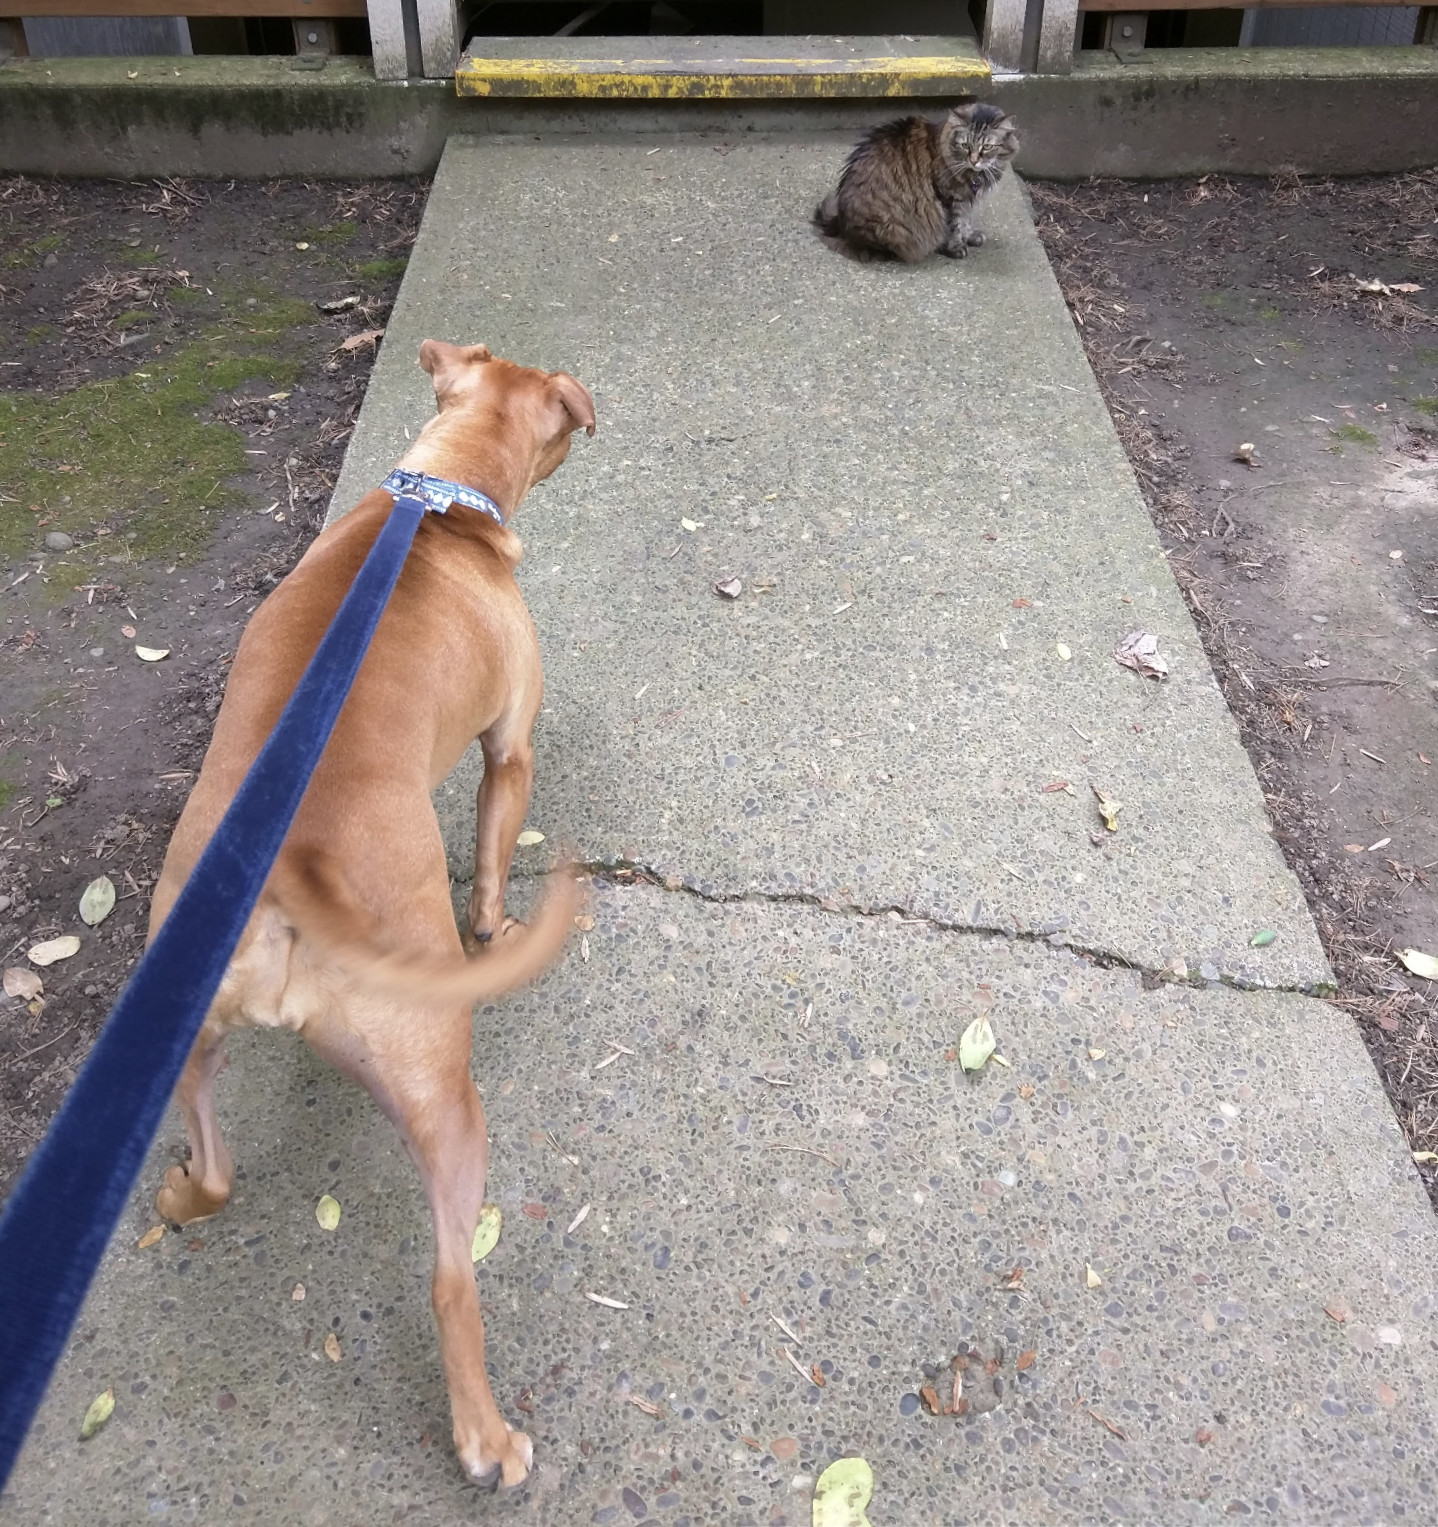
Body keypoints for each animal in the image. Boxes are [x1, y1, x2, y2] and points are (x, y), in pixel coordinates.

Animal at [146, 340, 595, 1484]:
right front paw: (494, 924)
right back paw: (487, 1437)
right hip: (444, 1096)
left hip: (187, 1038)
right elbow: (490, 862)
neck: (439, 501)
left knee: (217, 1170)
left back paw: (177, 1195)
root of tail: (288, 876)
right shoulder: (509, 751)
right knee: (449, 1281)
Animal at [818, 104, 1019, 265]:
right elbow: (954, 226)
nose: (974, 160)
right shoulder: (949, 198)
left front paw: (970, 236)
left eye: (987, 147)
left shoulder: (968, 200)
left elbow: (966, 221)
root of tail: (840, 223)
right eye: (965, 145)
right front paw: (955, 247)